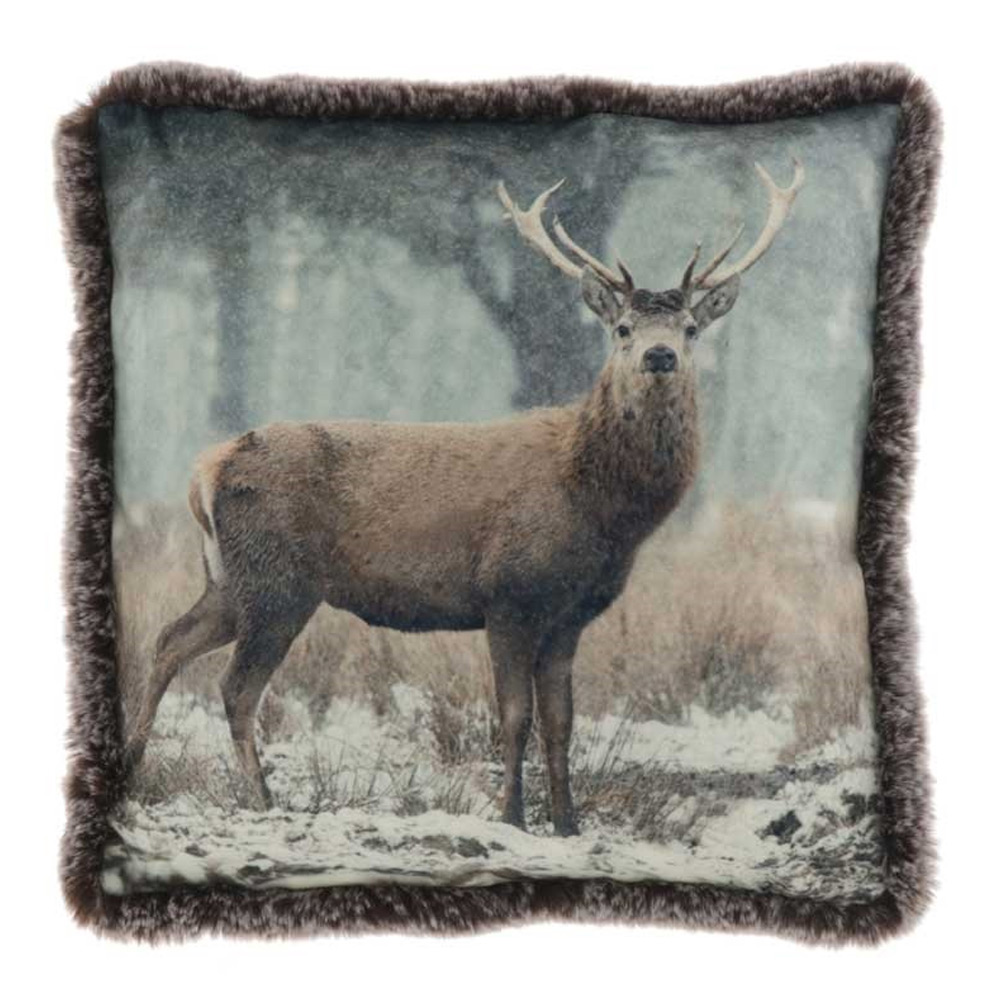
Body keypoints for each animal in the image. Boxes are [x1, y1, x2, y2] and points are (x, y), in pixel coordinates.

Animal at [124, 159, 804, 836]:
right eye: (622, 328)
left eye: (691, 328)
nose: (659, 356)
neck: (602, 511)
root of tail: (205, 470)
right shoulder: (508, 593)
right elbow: (515, 715)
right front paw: (511, 817)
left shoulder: (570, 614)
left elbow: (562, 723)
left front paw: (568, 824)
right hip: (278, 582)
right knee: (236, 688)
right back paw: (262, 800)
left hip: (228, 579)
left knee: (168, 640)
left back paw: (134, 765)